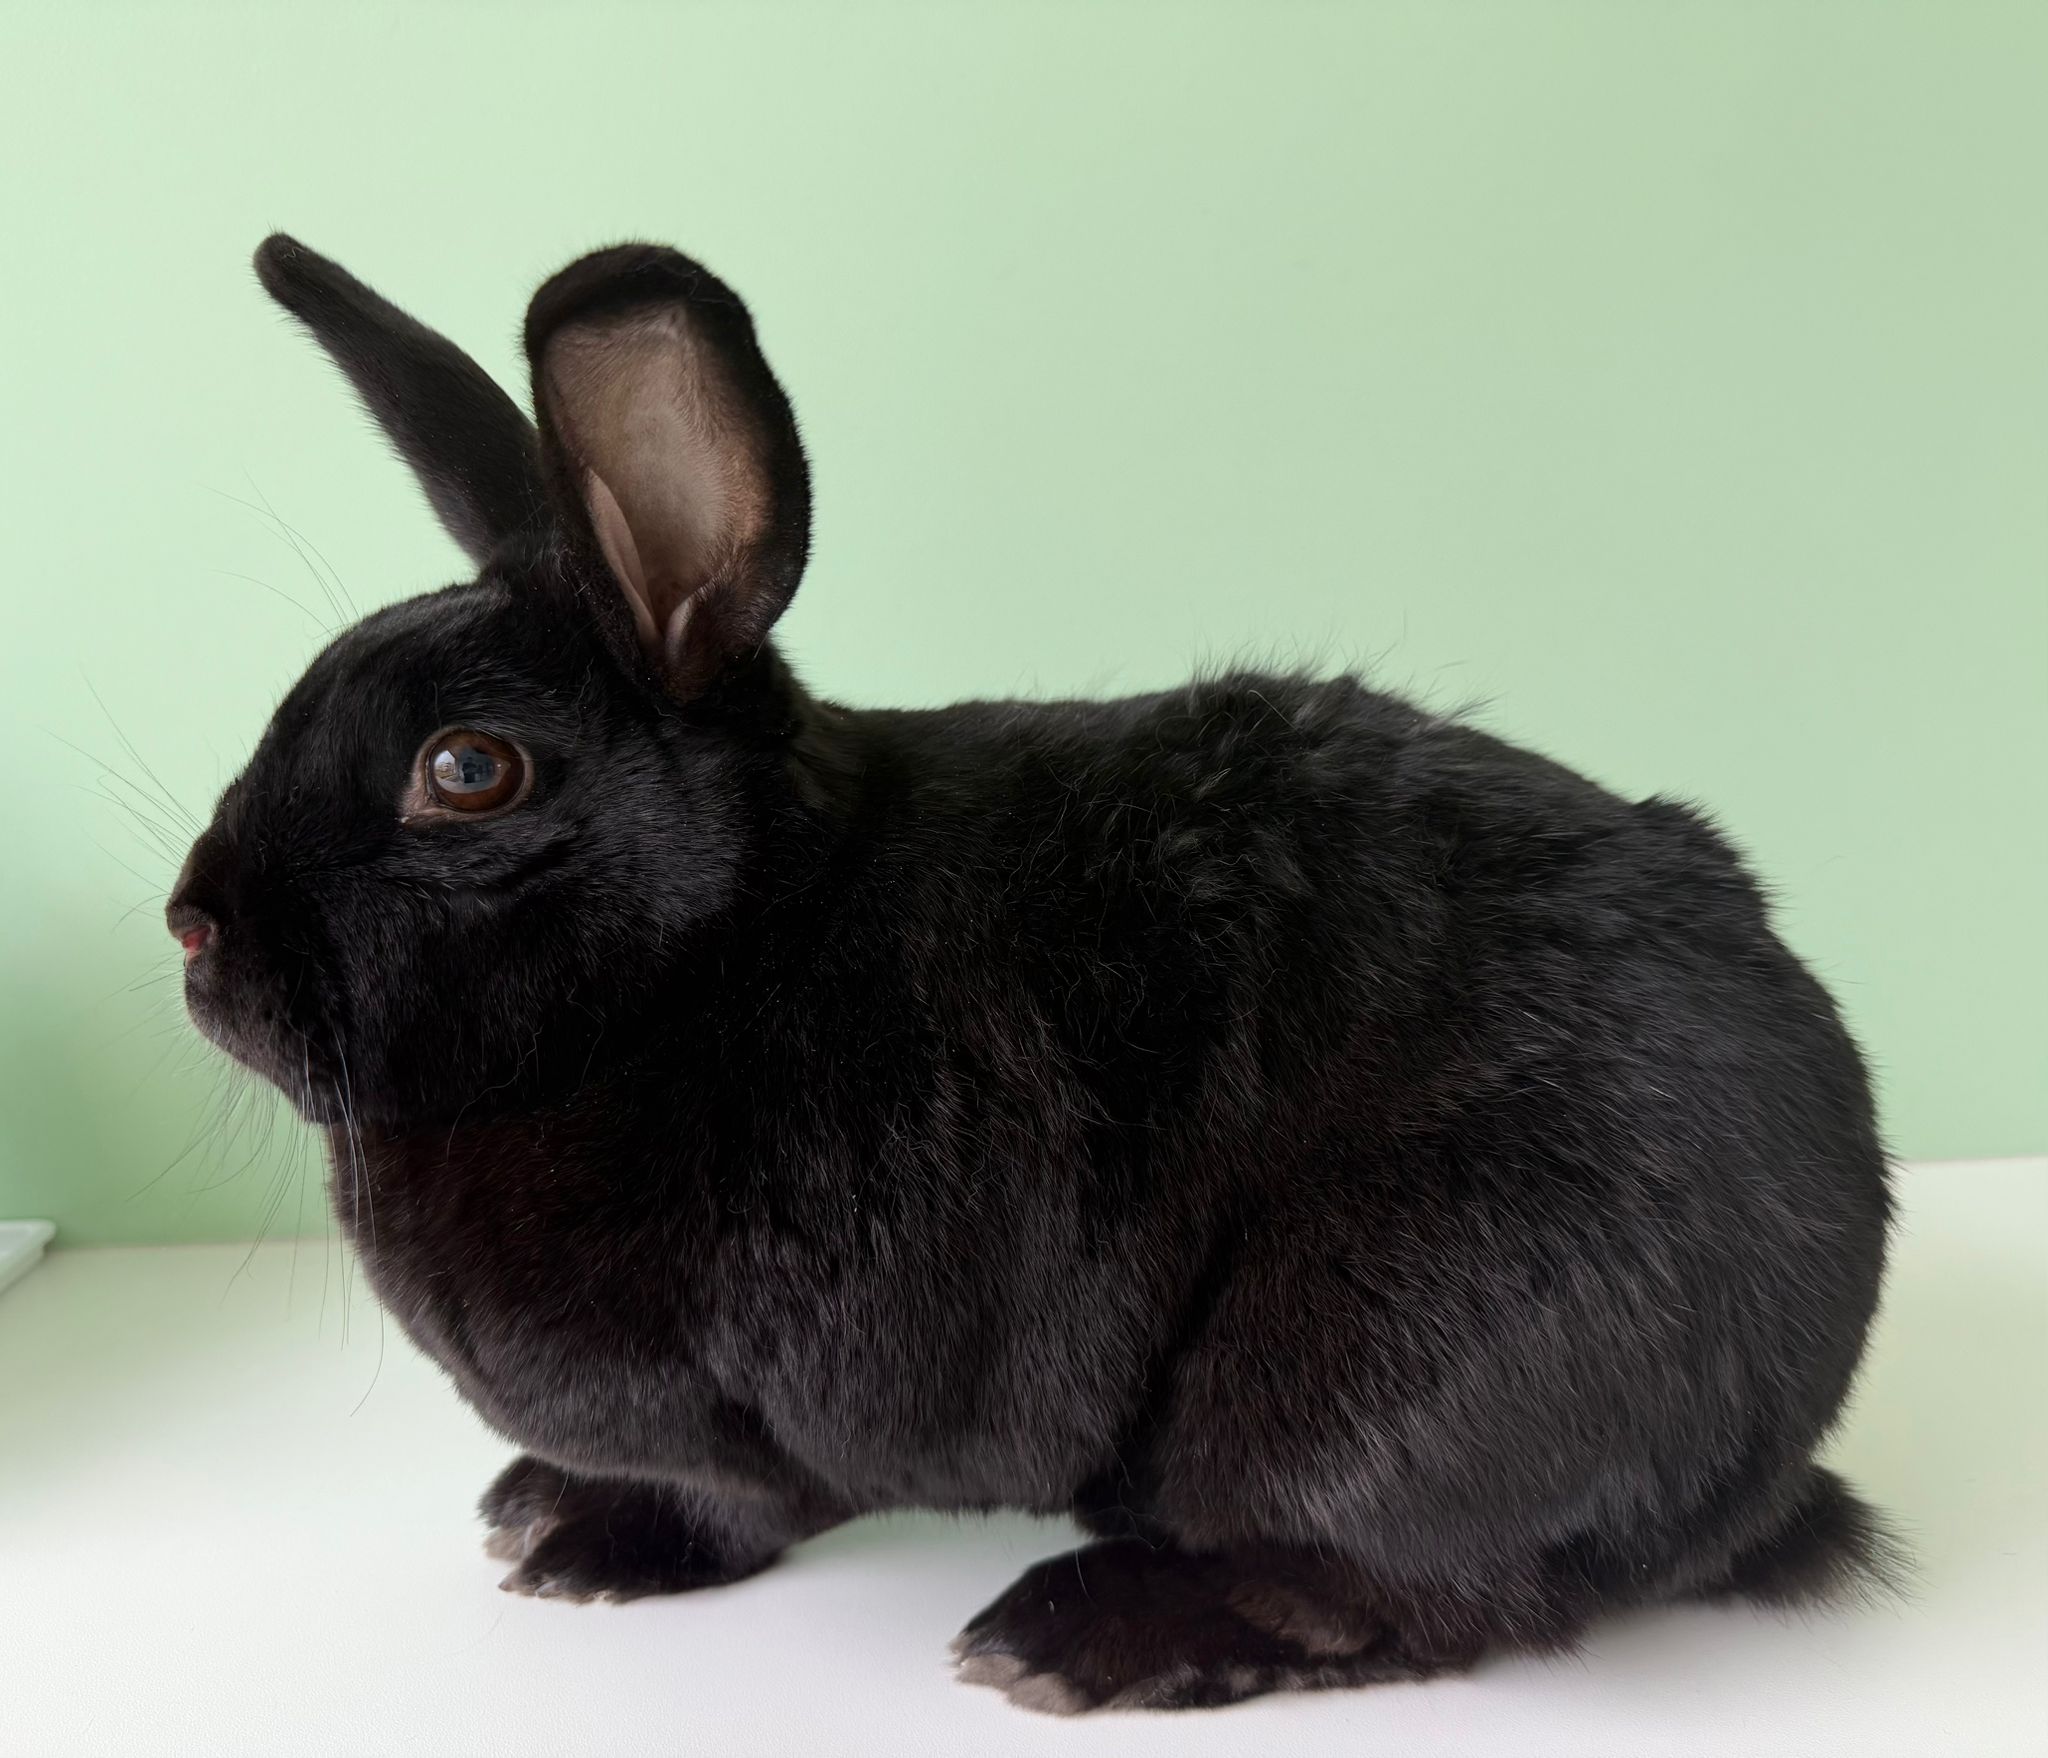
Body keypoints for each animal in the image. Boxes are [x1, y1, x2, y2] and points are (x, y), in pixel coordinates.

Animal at [167, 232, 1897, 1715]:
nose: (191, 929)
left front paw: (590, 1544)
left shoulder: (763, 1410)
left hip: (1390, 1353)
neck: (711, 955)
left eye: (467, 770)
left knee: (1402, 1588)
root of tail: (1777, 1435)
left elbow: (732, 1501)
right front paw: (535, 1502)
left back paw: (1075, 1634)